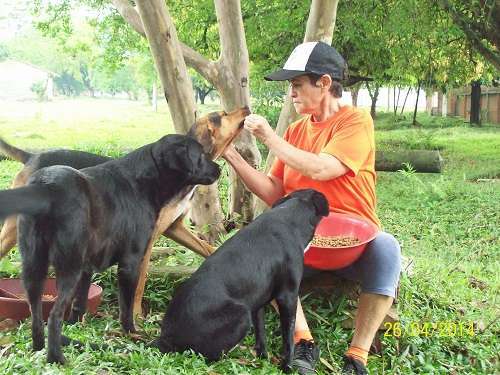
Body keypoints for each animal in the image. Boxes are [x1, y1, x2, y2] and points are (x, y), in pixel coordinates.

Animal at [0, 134, 221, 364]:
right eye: (201, 155)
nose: (219, 169)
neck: (145, 178)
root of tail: (44, 183)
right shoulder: (131, 262)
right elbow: (127, 307)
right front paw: (132, 333)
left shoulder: (87, 266)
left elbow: (79, 303)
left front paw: (75, 326)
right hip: (66, 266)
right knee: (53, 316)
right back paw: (56, 358)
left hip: (33, 265)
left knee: (35, 312)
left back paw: (38, 348)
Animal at [154, 189, 330, 372]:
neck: (289, 216)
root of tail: (165, 337)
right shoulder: (287, 296)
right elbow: (288, 337)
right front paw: (286, 367)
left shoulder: (258, 300)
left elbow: (261, 334)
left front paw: (263, 358)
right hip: (242, 315)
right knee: (210, 358)